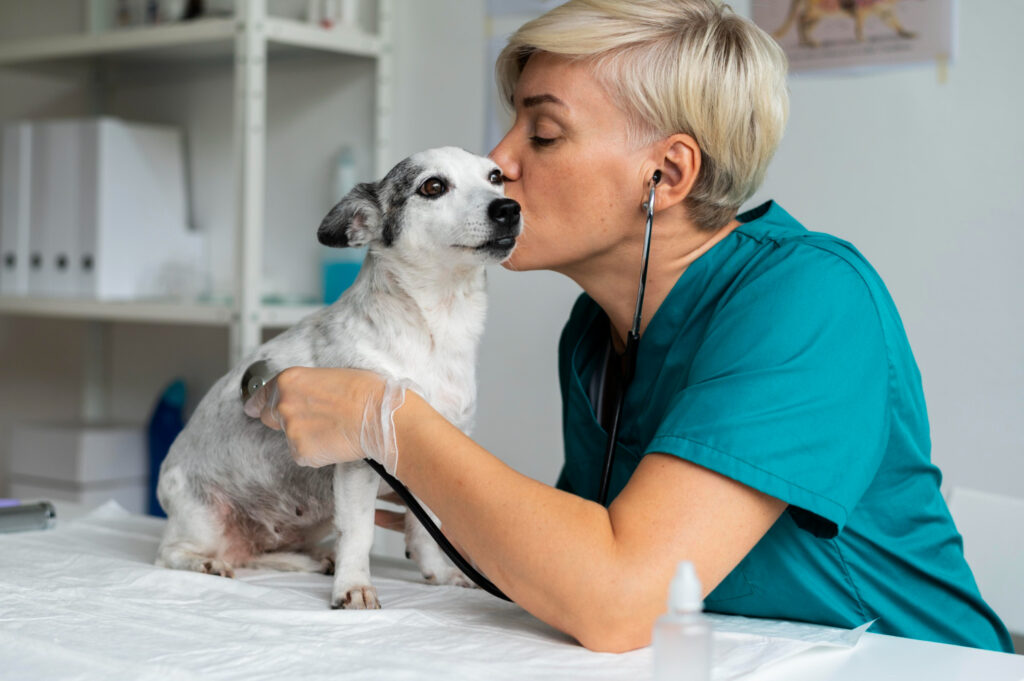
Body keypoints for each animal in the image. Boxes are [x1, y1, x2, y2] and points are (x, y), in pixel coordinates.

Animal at [153, 146, 520, 606]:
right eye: (433, 186)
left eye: (497, 178)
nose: (510, 209)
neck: (434, 333)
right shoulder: (358, 460)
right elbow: (360, 532)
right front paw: (355, 586)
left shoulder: (427, 458)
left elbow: (425, 531)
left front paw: (439, 572)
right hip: (204, 521)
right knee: (172, 554)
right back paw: (206, 562)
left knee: (258, 554)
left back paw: (309, 561)